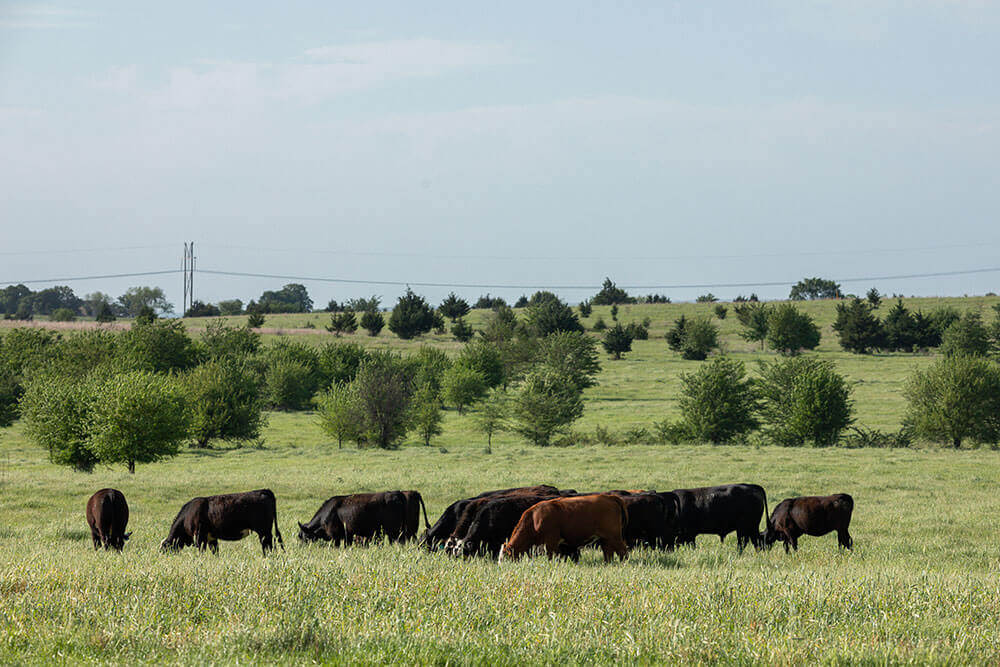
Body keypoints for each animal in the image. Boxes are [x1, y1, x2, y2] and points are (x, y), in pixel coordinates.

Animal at [499, 494, 629, 563]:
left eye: (504, 558)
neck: (534, 519)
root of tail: (609, 497)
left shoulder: (551, 541)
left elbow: (551, 556)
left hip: (614, 535)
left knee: (622, 550)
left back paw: (624, 563)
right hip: (605, 537)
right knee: (608, 551)